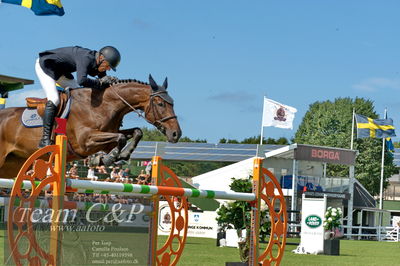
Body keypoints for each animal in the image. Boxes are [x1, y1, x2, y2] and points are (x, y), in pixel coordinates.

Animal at [0, 75, 181, 179]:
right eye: (160, 104)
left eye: (172, 103)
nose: (176, 134)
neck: (104, 105)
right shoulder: (85, 140)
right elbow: (121, 138)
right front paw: (106, 158)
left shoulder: (107, 135)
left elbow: (136, 132)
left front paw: (118, 156)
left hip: (13, 164)